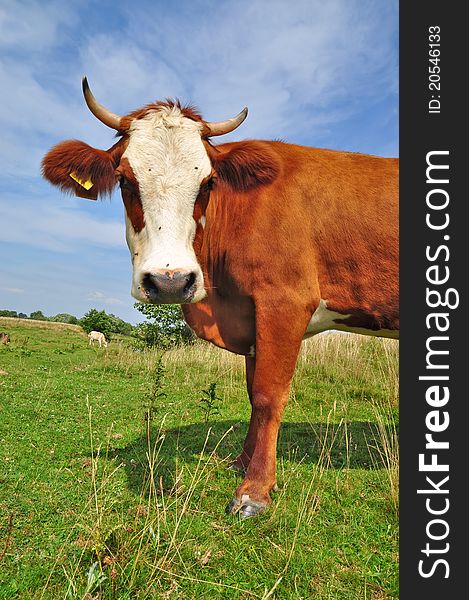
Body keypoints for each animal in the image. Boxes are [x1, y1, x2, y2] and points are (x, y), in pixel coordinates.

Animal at [42, 78, 396, 520]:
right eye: (124, 179)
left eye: (208, 182)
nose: (170, 281)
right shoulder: (251, 316)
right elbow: (252, 392)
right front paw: (242, 463)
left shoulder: (285, 302)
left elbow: (268, 395)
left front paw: (255, 489)